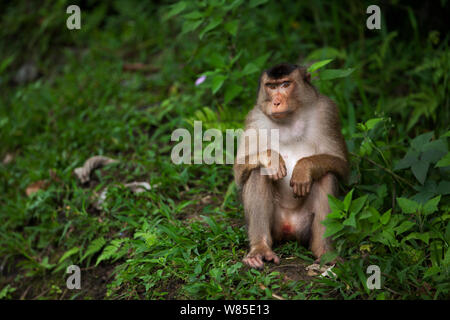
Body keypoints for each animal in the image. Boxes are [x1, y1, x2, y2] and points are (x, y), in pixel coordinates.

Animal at [234, 62, 350, 268]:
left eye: (285, 84)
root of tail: (289, 228)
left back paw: (324, 251)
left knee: (327, 175)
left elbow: (341, 164)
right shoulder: (254, 118)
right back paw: (260, 249)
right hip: (275, 226)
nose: (276, 102)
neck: (289, 119)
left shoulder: (327, 111)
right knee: (258, 172)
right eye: (271, 87)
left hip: (305, 225)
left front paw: (304, 169)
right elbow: (239, 171)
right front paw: (271, 159)